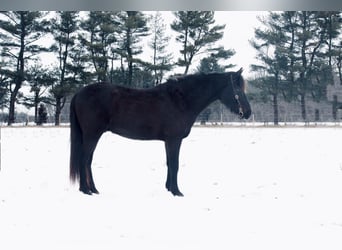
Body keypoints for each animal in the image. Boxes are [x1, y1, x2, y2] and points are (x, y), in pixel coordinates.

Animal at [69, 68, 251, 195]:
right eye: (238, 90)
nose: (248, 113)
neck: (182, 100)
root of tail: (78, 93)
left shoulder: (168, 141)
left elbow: (169, 163)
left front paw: (169, 189)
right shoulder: (174, 140)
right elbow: (175, 164)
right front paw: (177, 192)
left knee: (87, 161)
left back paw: (93, 189)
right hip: (92, 135)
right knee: (84, 160)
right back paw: (86, 190)